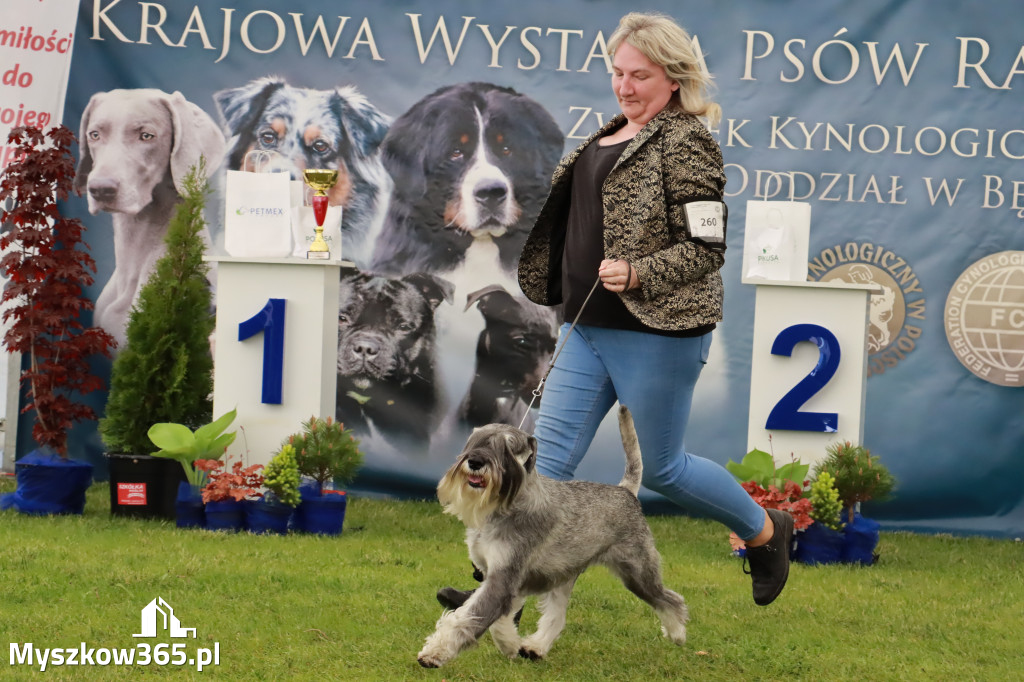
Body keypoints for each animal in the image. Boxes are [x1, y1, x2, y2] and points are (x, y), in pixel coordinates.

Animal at [415, 403, 688, 663]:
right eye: (476, 441)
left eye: (508, 447)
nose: (475, 462)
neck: (505, 507)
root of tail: (626, 492)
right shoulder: (498, 577)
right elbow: (500, 618)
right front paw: (510, 644)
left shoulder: (503, 577)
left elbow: (468, 618)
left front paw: (435, 653)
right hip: (565, 575)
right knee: (557, 616)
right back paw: (536, 647)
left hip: (637, 573)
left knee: (670, 598)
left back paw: (677, 632)